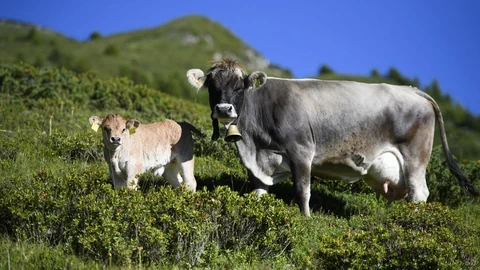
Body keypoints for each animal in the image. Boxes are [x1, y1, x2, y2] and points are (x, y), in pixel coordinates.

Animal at [186, 58, 478, 215]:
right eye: (212, 86)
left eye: (239, 87)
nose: (224, 109)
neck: (254, 143)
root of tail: (414, 90)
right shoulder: (260, 161)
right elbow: (259, 191)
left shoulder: (301, 151)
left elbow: (302, 190)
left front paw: (305, 218)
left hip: (416, 157)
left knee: (419, 193)